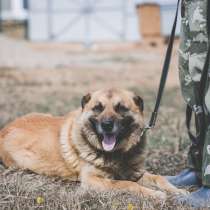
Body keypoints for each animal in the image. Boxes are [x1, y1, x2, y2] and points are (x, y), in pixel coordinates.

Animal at [0, 88, 187, 199]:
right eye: (98, 108)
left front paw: (178, 191)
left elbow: (158, 177)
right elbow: (126, 183)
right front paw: (154, 194)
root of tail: (4, 130)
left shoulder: (135, 172)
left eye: (121, 108)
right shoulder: (93, 180)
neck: (116, 154)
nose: (107, 125)